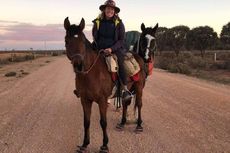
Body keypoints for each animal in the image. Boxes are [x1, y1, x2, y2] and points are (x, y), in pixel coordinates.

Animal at [64, 17, 147, 153]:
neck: (91, 73)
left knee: (139, 104)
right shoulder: (85, 100)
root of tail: (138, 57)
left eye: (82, 40)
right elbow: (86, 122)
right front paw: (84, 144)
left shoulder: (102, 100)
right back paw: (122, 124)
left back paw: (139, 126)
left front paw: (104, 145)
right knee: (125, 103)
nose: (78, 65)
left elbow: (103, 122)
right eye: (67, 40)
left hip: (139, 87)